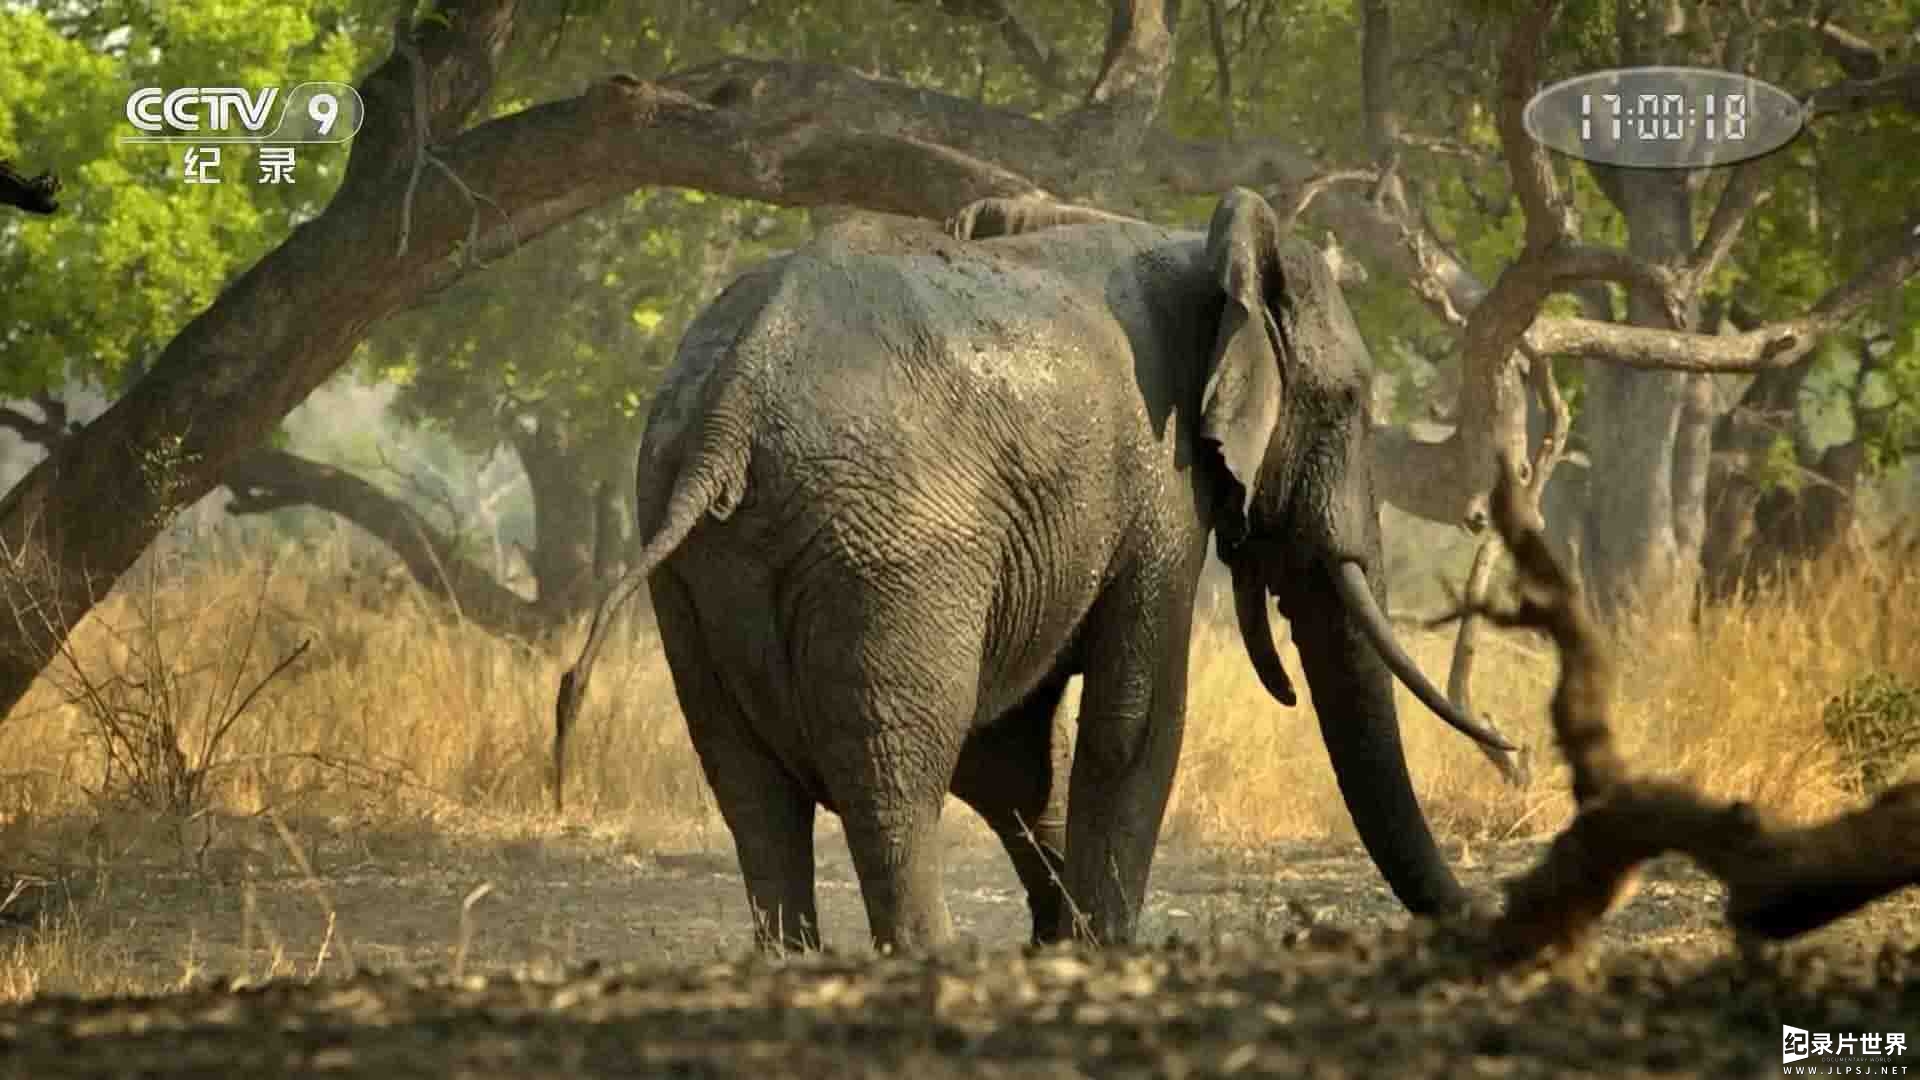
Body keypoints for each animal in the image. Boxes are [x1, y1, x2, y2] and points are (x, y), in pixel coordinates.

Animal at [556, 189, 1512, 945]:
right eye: (1349, 403)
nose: (1510, 748)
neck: (1199, 248)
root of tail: (730, 408)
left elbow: (1012, 755)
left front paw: (1060, 941)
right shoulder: (1160, 480)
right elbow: (1136, 724)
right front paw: (1099, 952)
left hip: (693, 567)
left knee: (751, 792)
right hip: (892, 555)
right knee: (896, 781)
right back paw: (931, 957)